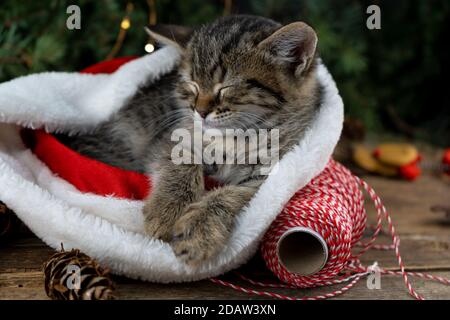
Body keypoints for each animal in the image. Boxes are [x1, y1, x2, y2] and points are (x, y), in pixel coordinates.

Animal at [61, 14, 322, 264]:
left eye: (225, 87)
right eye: (192, 84)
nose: (201, 111)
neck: (238, 136)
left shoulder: (273, 173)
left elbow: (239, 195)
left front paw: (200, 229)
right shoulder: (169, 138)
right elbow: (182, 162)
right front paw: (169, 211)